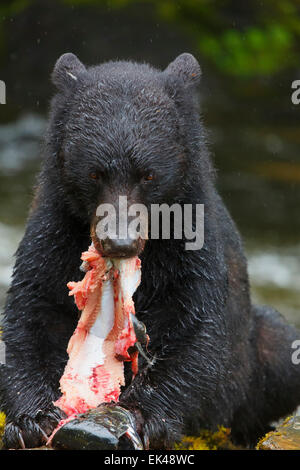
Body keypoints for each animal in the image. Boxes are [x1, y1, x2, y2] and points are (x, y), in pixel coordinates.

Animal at [0, 51, 300, 448]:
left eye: (149, 175)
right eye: (94, 174)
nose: (119, 242)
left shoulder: (195, 242)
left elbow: (196, 328)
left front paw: (140, 416)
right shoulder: (53, 229)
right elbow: (33, 310)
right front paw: (32, 420)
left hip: (258, 351)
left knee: (279, 348)